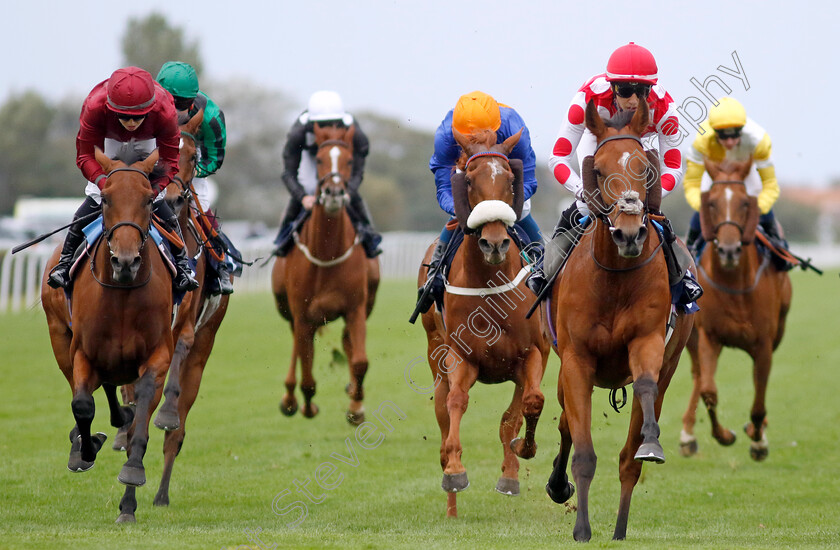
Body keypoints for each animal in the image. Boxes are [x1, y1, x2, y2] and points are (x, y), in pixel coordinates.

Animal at [42, 148, 176, 528]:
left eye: (148, 200)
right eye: (105, 199)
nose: (125, 261)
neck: (123, 293)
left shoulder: (158, 355)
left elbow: (140, 423)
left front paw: (131, 481)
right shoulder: (83, 352)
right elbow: (82, 406)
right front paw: (84, 450)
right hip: (60, 338)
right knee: (90, 388)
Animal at [272, 125, 380, 424]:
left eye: (350, 160)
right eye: (319, 159)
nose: (333, 193)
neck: (327, 255)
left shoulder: (356, 308)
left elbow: (360, 361)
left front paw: (356, 407)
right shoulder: (302, 314)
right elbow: (307, 374)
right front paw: (308, 406)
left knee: (346, 344)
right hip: (287, 309)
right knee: (297, 347)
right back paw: (289, 399)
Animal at [420, 128, 552, 516]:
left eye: (509, 178)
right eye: (469, 179)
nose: (494, 243)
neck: (490, 286)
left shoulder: (533, 354)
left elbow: (526, 406)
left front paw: (518, 459)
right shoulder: (461, 358)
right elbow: (456, 403)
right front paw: (455, 470)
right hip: (436, 355)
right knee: (443, 409)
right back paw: (450, 501)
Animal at [544, 99, 696, 544]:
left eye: (644, 166)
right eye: (600, 168)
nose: (629, 233)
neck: (614, 277)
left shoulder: (648, 342)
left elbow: (644, 391)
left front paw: (652, 444)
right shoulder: (576, 360)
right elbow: (582, 451)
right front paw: (581, 528)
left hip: (671, 361)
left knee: (630, 458)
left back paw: (621, 528)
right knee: (564, 419)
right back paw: (559, 486)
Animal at [680, 158, 792, 462]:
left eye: (744, 203)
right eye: (711, 203)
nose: (729, 251)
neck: (734, 286)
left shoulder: (764, 344)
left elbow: (758, 400)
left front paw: (758, 440)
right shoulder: (709, 337)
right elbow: (708, 391)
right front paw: (724, 435)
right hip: (692, 337)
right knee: (698, 376)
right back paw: (687, 435)